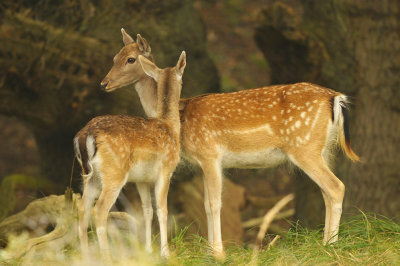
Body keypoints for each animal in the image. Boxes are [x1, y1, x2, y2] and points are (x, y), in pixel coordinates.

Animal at [75, 48, 186, 260]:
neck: (170, 126)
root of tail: (86, 135)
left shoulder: (142, 179)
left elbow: (147, 210)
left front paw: (149, 250)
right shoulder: (166, 170)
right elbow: (163, 209)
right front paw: (165, 253)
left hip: (89, 175)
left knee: (82, 209)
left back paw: (85, 257)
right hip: (114, 173)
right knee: (99, 210)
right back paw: (107, 257)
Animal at [101, 29, 360, 260]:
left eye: (130, 59)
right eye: (114, 57)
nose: (104, 83)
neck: (180, 118)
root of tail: (335, 98)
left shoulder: (210, 154)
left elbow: (215, 203)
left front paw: (218, 251)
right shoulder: (203, 163)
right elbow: (206, 205)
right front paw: (210, 250)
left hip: (304, 147)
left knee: (336, 187)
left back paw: (330, 246)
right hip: (324, 150)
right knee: (326, 191)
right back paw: (326, 241)